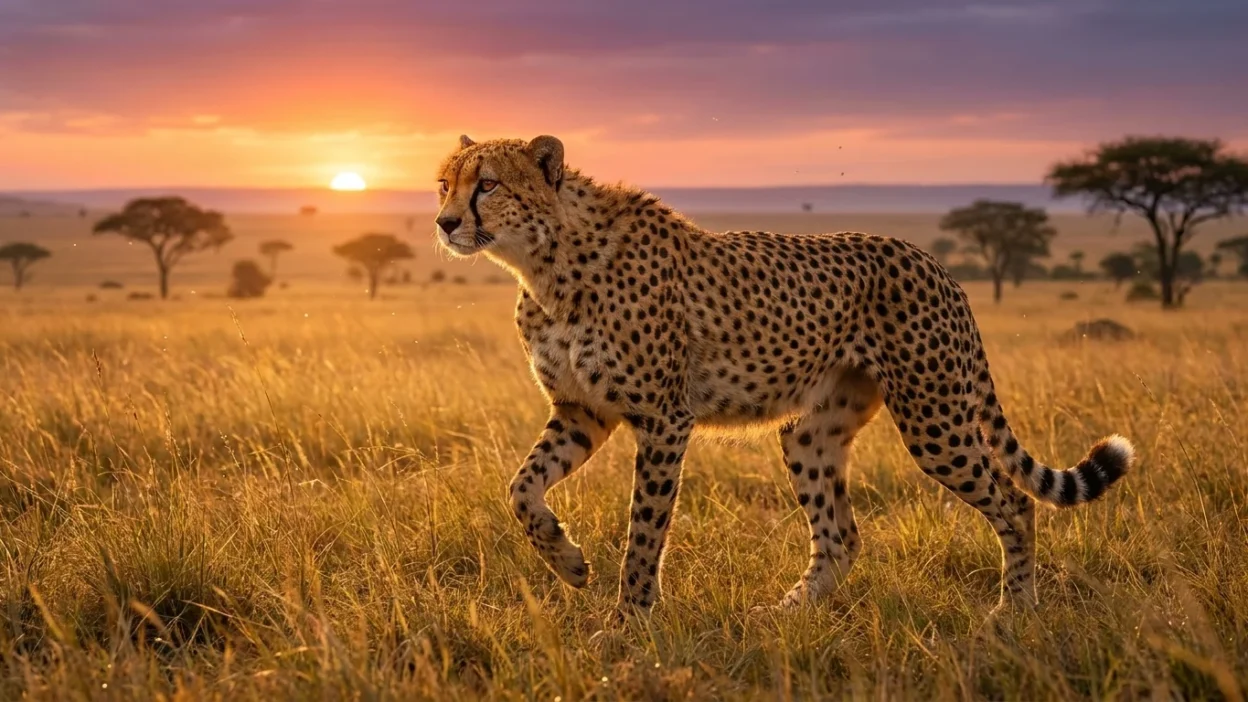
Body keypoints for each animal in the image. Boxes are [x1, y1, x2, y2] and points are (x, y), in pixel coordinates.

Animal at [432, 134, 1135, 619]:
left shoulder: (663, 419)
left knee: (1015, 502)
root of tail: (933, 260)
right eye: (443, 184)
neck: (545, 262)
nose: (444, 222)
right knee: (841, 535)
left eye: (487, 185)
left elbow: (644, 529)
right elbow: (521, 488)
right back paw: (784, 615)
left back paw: (1013, 611)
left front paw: (629, 621)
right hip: (810, 432)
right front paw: (569, 563)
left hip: (936, 419)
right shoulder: (583, 412)